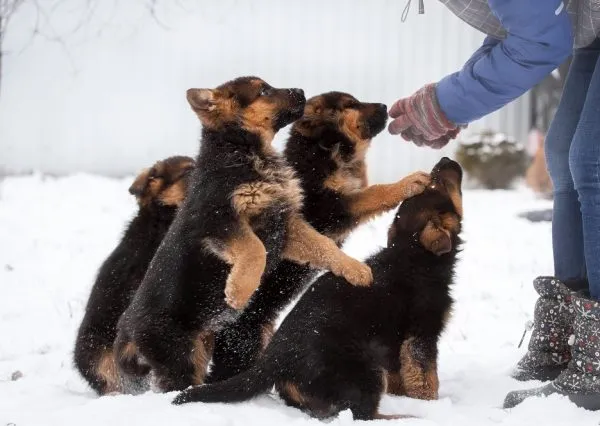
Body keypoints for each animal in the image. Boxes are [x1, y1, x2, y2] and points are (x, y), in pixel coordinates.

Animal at [115, 76, 372, 392]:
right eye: (263, 90)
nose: (301, 91)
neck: (243, 152)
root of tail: (127, 327)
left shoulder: (286, 225)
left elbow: (323, 244)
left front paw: (355, 270)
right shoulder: (221, 222)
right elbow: (254, 250)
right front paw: (239, 291)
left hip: (197, 347)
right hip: (178, 354)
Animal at [173, 158, 464, 422]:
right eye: (438, 185)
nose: (446, 159)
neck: (410, 252)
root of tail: (273, 360)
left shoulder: (396, 343)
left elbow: (402, 377)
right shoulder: (421, 335)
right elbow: (426, 378)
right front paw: (430, 404)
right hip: (366, 370)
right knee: (362, 413)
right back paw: (405, 417)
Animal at [207, 90, 432, 382]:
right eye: (351, 105)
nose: (385, 106)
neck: (325, 150)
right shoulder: (331, 207)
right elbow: (373, 193)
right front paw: (407, 184)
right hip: (243, 343)